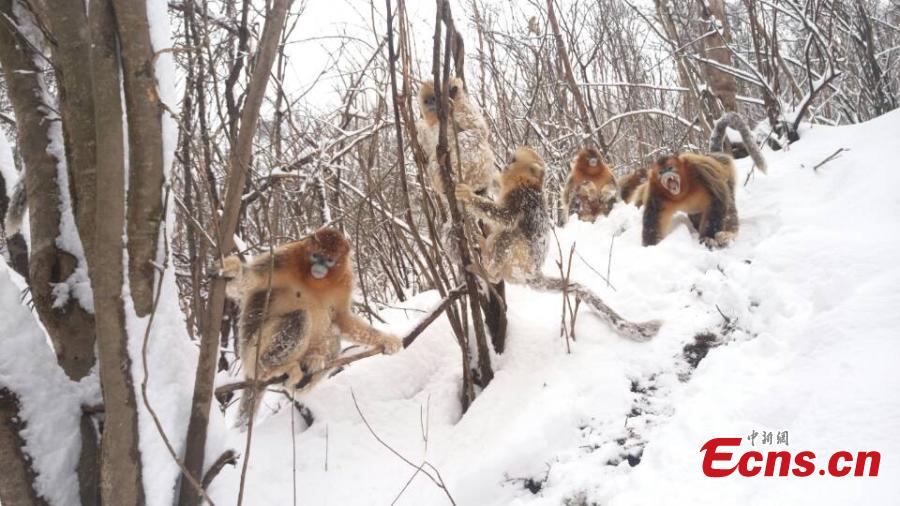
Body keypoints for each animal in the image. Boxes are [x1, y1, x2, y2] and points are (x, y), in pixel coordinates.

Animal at [218, 227, 400, 424]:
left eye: (329, 260)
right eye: (315, 255)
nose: (319, 267)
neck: (315, 281)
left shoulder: (345, 280)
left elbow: (342, 318)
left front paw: (387, 340)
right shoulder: (283, 259)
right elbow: (247, 282)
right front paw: (233, 270)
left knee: (334, 336)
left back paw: (311, 366)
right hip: (253, 350)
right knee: (300, 317)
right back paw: (271, 369)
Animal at [458, 148, 660, 342]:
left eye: (513, 160)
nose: (505, 164)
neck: (526, 184)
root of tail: (534, 275)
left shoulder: (522, 199)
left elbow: (503, 216)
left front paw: (467, 195)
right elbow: (497, 187)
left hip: (518, 262)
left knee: (507, 237)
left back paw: (487, 270)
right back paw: (483, 244)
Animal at [640, 111, 768, 248]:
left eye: (670, 168)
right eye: (661, 172)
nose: (666, 174)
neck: (683, 191)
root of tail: (715, 155)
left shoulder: (700, 170)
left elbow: (717, 201)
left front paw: (707, 238)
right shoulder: (655, 191)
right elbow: (653, 223)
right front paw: (652, 246)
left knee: (728, 206)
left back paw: (728, 234)